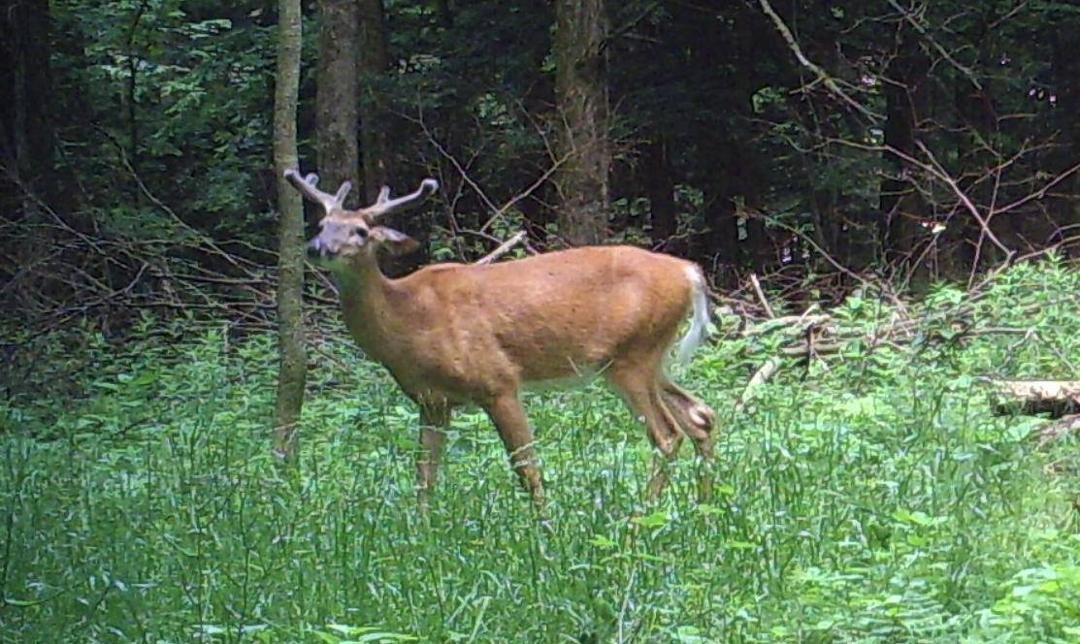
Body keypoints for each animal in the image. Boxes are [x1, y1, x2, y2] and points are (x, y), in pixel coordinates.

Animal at [284, 168, 716, 510]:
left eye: (360, 231)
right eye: (321, 226)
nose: (317, 247)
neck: (409, 319)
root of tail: (688, 272)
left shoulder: (498, 380)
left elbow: (525, 465)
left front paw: (544, 528)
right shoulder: (432, 401)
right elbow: (425, 474)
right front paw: (420, 533)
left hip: (632, 354)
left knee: (667, 435)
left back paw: (640, 518)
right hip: (649, 357)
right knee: (700, 415)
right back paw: (704, 506)